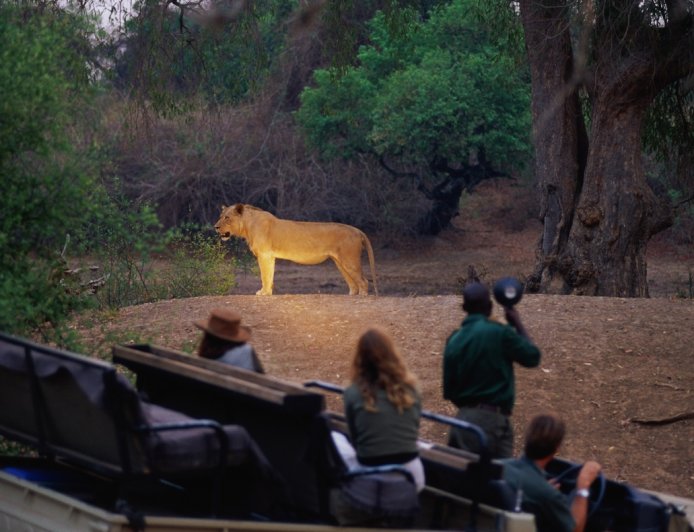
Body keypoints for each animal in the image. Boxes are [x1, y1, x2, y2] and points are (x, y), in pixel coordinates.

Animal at [214, 204, 378, 296]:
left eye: (227, 217)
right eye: (221, 216)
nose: (215, 227)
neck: (248, 226)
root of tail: (357, 230)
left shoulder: (264, 255)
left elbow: (264, 275)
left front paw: (263, 293)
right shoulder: (270, 256)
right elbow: (270, 275)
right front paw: (268, 292)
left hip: (349, 260)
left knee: (364, 281)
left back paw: (362, 296)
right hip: (340, 262)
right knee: (353, 283)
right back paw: (352, 295)